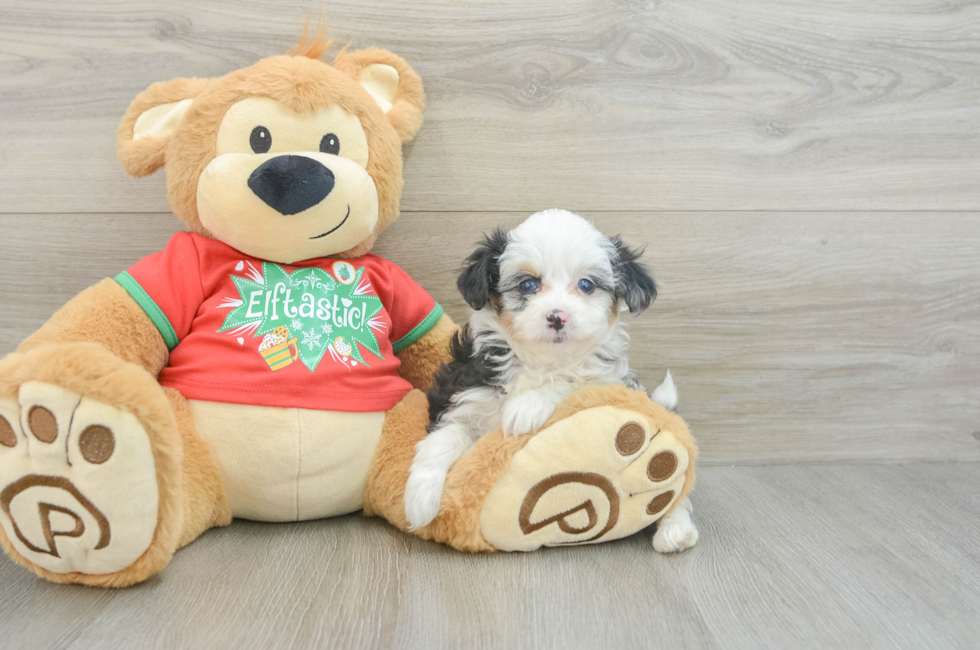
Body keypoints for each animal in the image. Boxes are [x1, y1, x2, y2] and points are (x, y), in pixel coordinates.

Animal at [402, 209, 692, 552]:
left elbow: (572, 383)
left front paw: (527, 406)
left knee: (677, 490)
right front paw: (420, 499)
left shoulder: (607, 383)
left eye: (586, 285)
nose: (557, 316)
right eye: (528, 284)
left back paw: (676, 529)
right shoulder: (465, 392)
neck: (541, 362)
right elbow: (445, 436)